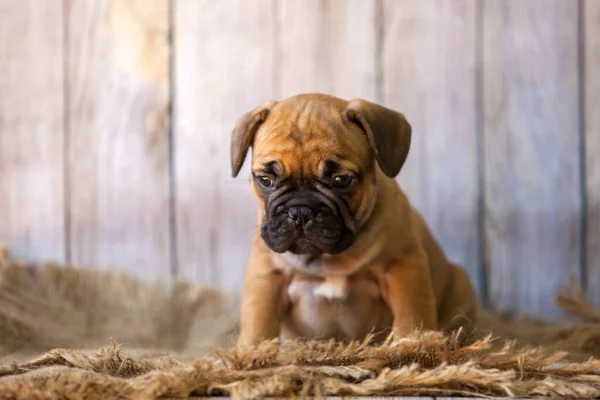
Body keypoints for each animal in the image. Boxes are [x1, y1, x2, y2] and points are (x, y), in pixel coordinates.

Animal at [231, 93, 478, 346]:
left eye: (341, 180)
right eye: (265, 180)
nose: (300, 211)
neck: (329, 258)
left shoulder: (402, 267)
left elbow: (411, 314)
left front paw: (412, 343)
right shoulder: (267, 276)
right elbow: (258, 321)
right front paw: (252, 350)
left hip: (460, 287)